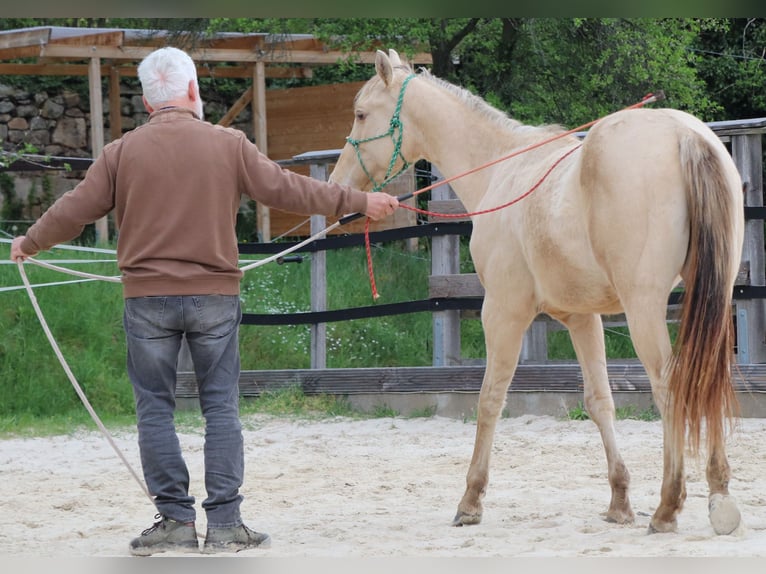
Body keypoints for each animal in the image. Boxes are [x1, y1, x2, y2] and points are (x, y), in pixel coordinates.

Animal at [329, 49, 745, 536]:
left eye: (361, 114)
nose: (339, 185)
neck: (500, 168)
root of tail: (685, 136)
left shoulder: (503, 311)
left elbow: (490, 398)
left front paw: (470, 501)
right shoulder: (581, 317)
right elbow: (599, 401)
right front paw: (619, 501)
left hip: (644, 309)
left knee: (672, 388)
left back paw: (667, 507)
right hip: (710, 299)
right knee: (706, 378)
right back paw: (719, 495)